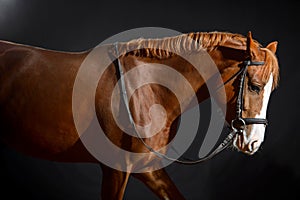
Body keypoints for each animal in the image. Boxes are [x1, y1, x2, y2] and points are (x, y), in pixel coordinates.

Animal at [0, 30, 278, 199]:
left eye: (271, 89)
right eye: (254, 86)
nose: (254, 142)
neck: (146, 87)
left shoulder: (149, 169)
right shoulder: (116, 170)